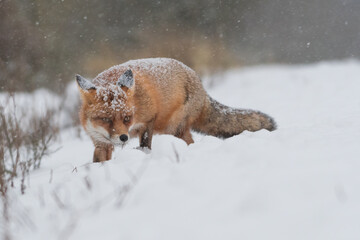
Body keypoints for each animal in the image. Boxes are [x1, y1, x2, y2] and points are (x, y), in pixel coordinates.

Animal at [76, 57, 276, 162]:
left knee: (189, 142)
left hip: (173, 128)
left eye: (127, 118)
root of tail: (200, 84)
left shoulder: (149, 120)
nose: (124, 137)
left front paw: (144, 155)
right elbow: (100, 159)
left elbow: (145, 144)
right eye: (106, 119)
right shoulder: (100, 141)